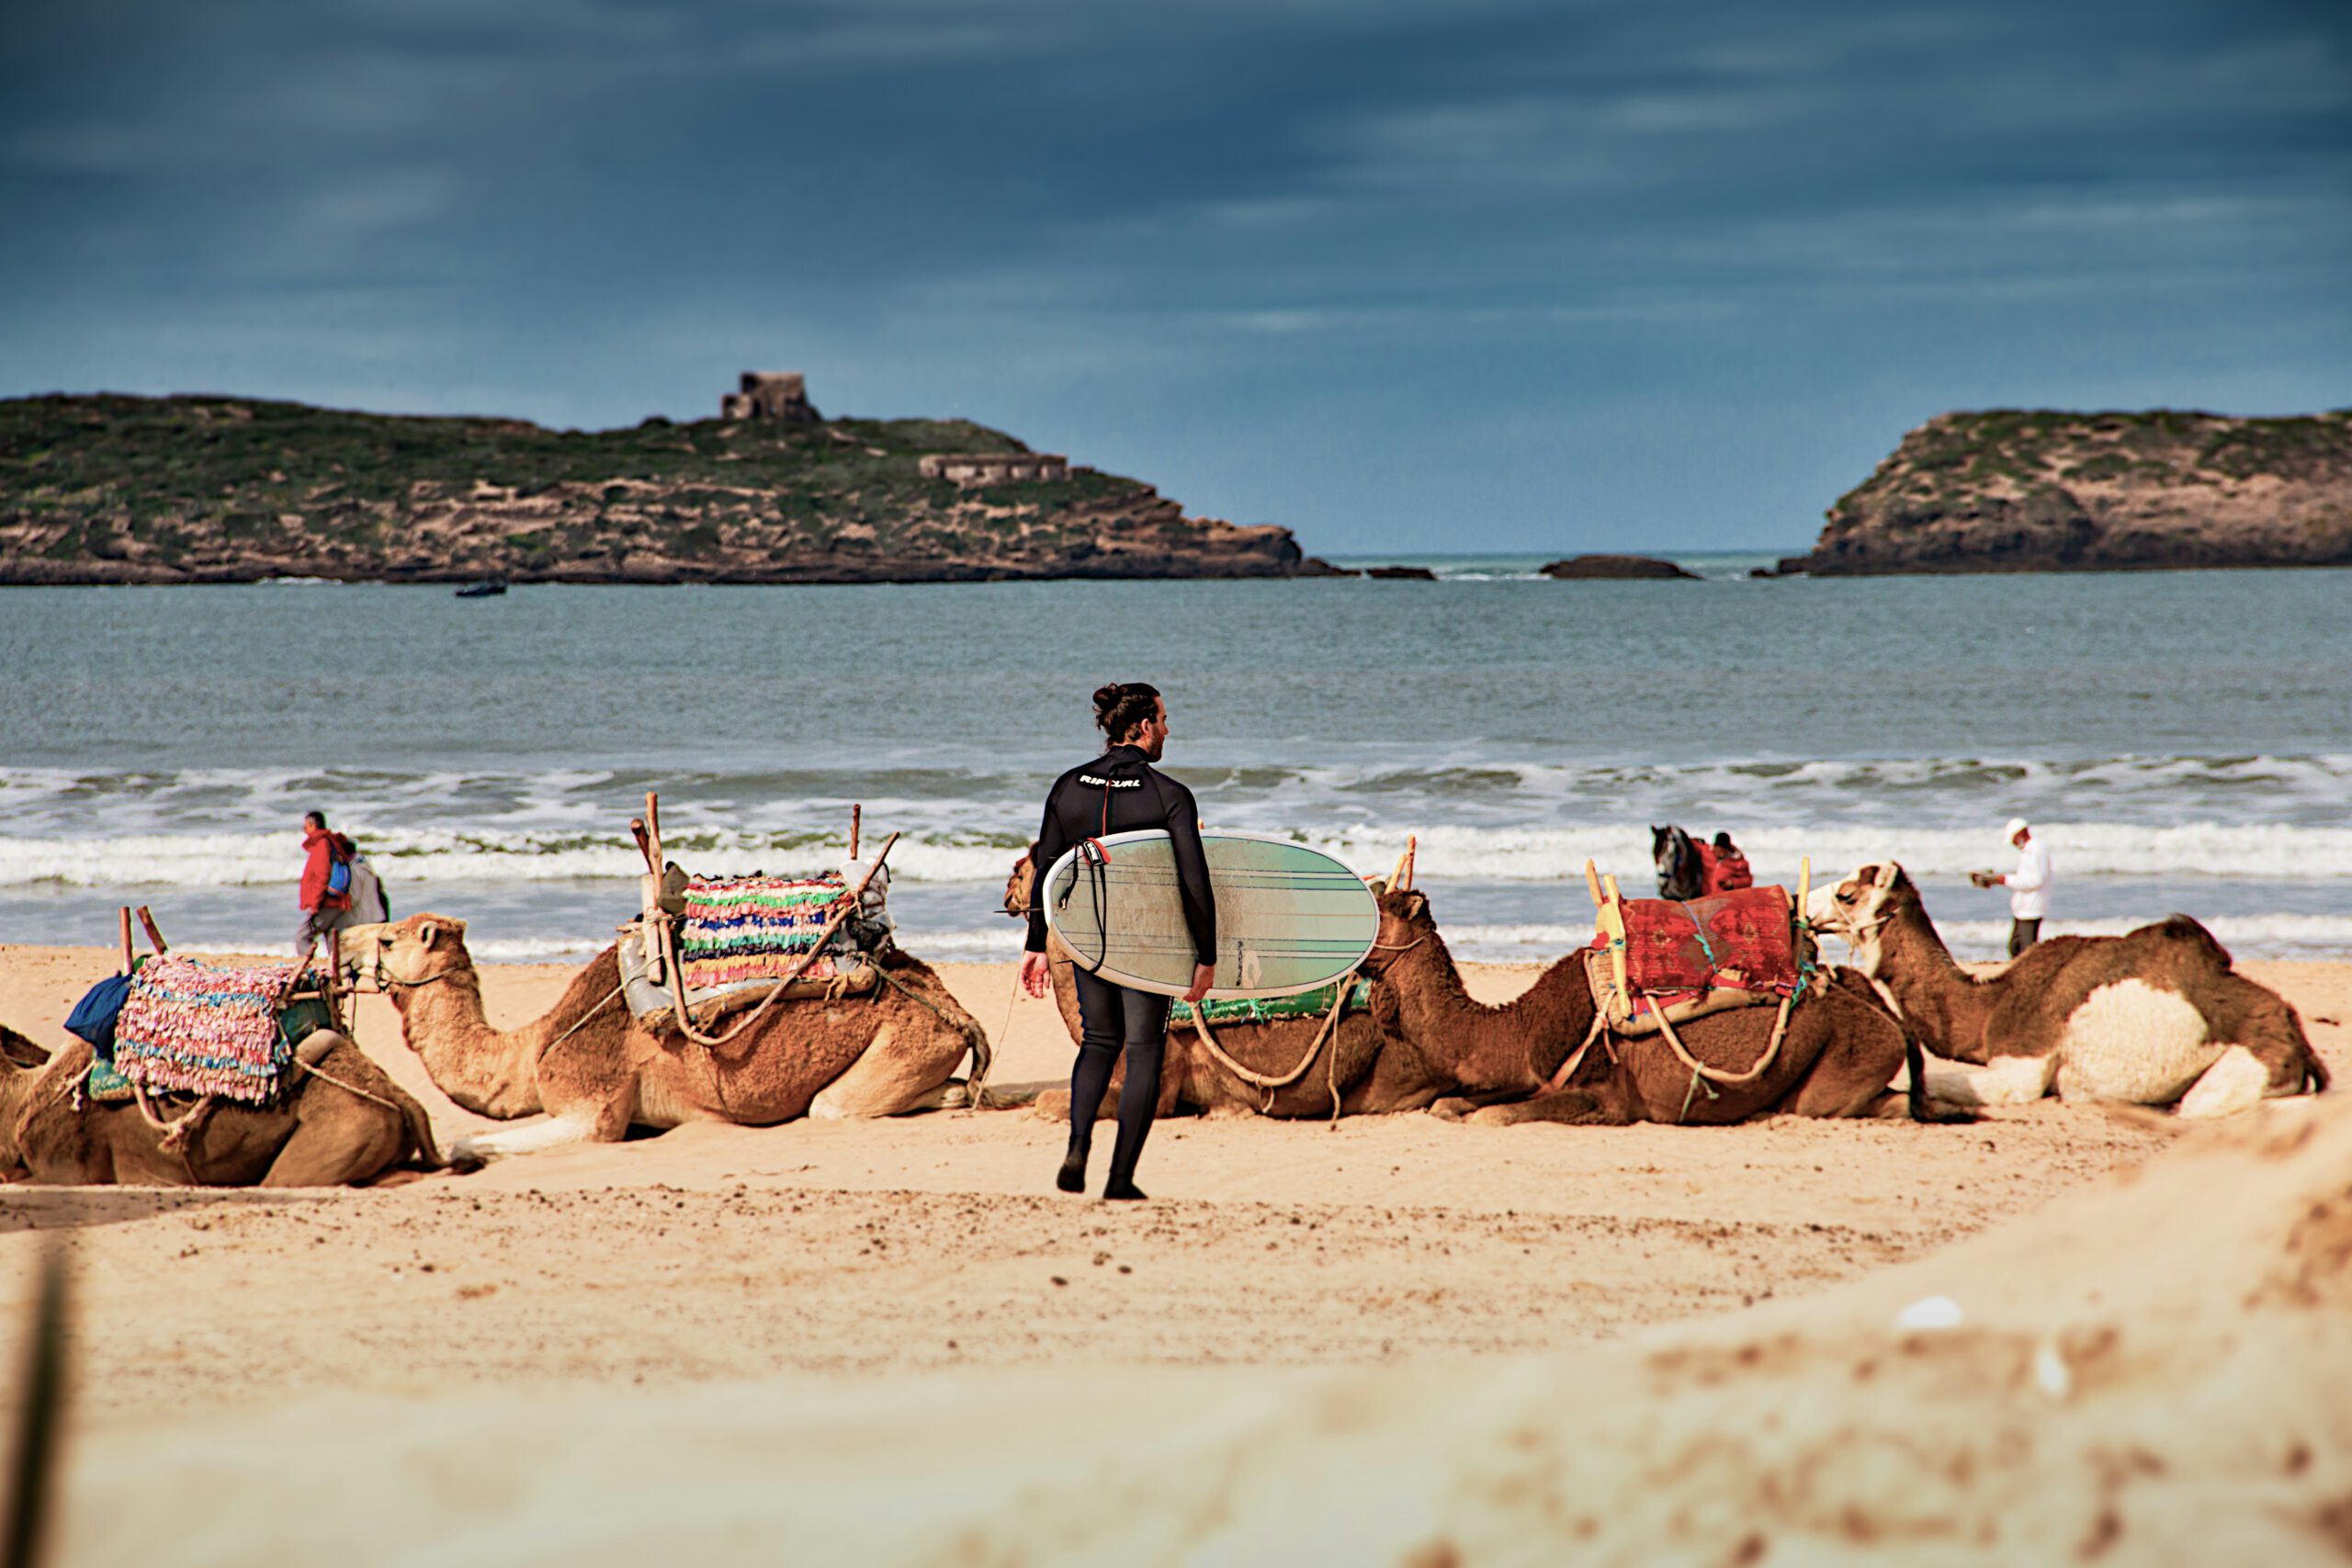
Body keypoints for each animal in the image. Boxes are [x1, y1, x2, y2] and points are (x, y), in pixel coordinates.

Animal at [357, 907, 992, 1166]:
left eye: (389, 940)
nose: (347, 949)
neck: (533, 1051)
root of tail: (952, 1006)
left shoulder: (592, 1106)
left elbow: (472, 1142)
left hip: (905, 1041)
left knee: (835, 1106)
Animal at [1806, 860, 2324, 1114]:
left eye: (1846, 894)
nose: (1804, 906)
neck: (1991, 1003)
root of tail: (2296, 1035)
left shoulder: (2023, 1063)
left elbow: (1934, 1080)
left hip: (2247, 1064)